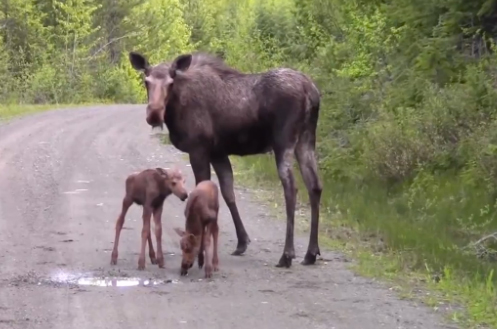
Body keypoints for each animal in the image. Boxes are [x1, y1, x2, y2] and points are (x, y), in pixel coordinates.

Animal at [128, 51, 322, 266]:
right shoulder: (218, 153)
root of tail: (311, 91)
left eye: (171, 82)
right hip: (306, 140)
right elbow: (228, 194)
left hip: (283, 142)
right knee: (314, 186)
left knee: (291, 188)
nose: (154, 114)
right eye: (146, 81)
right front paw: (242, 242)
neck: (175, 109)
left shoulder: (198, 149)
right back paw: (311, 253)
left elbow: (201, 191)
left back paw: (287, 254)